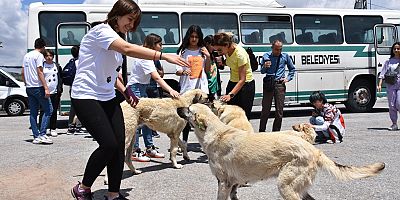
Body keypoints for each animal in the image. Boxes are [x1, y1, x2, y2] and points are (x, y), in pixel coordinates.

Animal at [178, 104, 384, 200]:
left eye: (188, 109)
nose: (178, 106)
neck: (215, 132)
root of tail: (313, 149)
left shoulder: (224, 183)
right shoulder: (233, 183)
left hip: (286, 186)